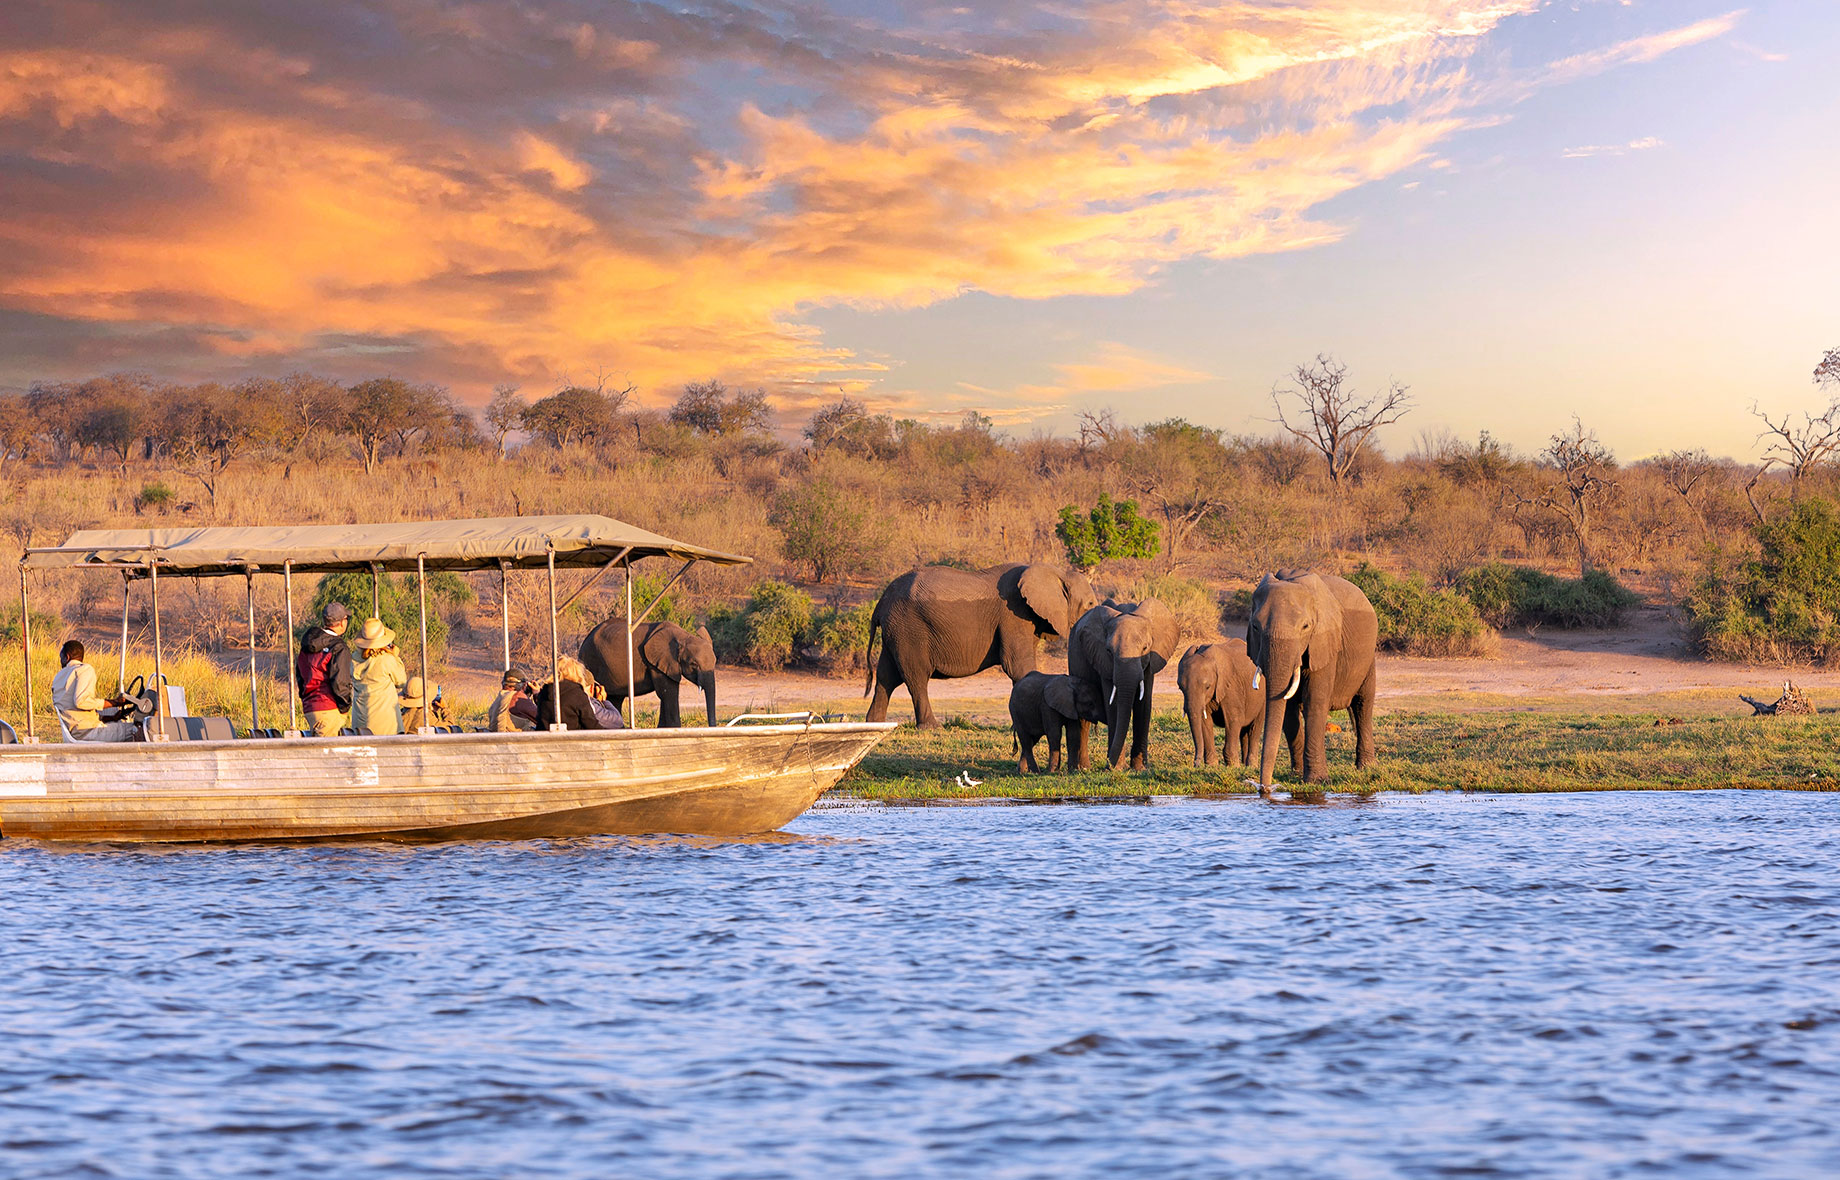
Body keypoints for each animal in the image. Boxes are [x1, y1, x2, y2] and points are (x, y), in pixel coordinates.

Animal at [579, 618, 717, 728]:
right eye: (694, 664)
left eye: (715, 662)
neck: (683, 636)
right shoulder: (657, 663)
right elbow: (668, 693)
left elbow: (665, 695)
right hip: (591, 660)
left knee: (615, 699)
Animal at [864, 563, 1098, 727]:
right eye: (1090, 604)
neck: (1054, 571)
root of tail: (881, 603)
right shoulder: (1013, 614)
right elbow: (1017, 665)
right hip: (909, 628)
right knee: (916, 677)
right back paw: (931, 727)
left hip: (896, 631)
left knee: (887, 676)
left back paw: (874, 724)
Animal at [1067, 598, 1180, 771]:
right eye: (1109, 651)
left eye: (1145, 648)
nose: (1108, 765)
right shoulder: (1103, 661)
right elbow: (1114, 705)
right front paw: (1118, 768)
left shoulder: (1150, 664)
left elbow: (1144, 704)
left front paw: (1140, 768)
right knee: (1083, 720)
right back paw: (1082, 768)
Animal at [1177, 639, 1266, 768]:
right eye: (1180, 688)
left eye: (1207, 687)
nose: (1196, 764)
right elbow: (1205, 722)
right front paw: (1211, 765)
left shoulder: (1231, 686)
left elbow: (1234, 719)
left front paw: (1233, 766)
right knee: (1244, 731)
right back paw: (1244, 764)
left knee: (1255, 727)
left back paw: (1251, 765)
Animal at [1246, 571, 1379, 789]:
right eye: (1255, 627)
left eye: (1305, 627)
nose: (1265, 788)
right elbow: (1288, 710)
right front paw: (1296, 775)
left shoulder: (1324, 642)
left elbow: (1315, 702)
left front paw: (1317, 781)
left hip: (1368, 657)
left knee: (1363, 704)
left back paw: (1366, 767)